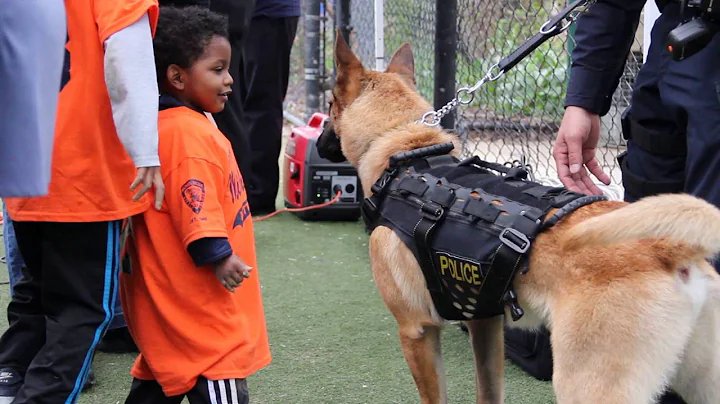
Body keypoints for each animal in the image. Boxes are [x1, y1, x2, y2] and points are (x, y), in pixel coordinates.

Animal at [318, 30, 720, 404]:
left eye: (330, 103)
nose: (320, 142)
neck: (409, 151)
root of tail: (668, 248)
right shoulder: (485, 323)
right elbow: (488, 390)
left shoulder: (417, 331)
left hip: (587, 386)